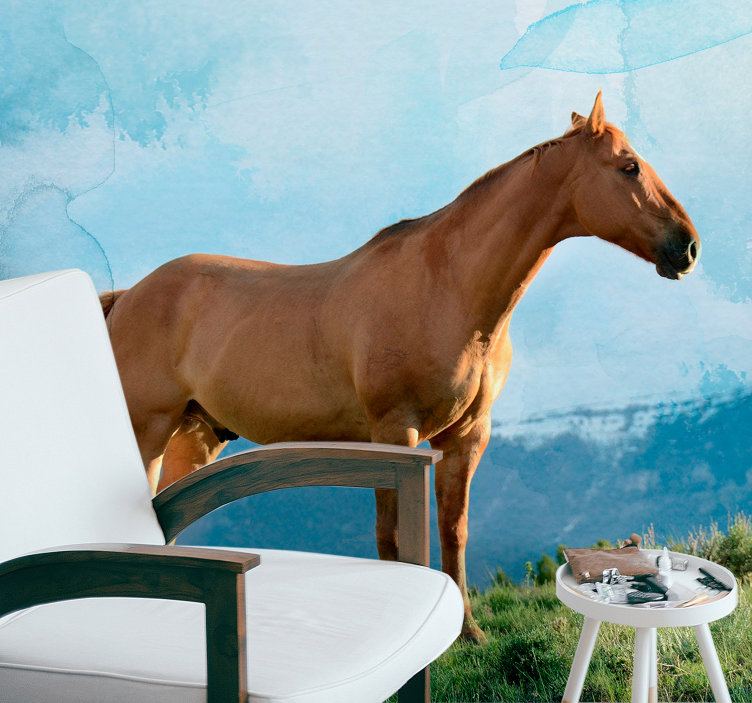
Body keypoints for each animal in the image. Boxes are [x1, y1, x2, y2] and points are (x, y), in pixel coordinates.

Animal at [101, 93, 700, 641]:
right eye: (628, 166)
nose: (688, 247)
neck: (448, 287)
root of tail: (126, 296)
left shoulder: (466, 436)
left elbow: (453, 531)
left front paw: (468, 634)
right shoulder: (395, 432)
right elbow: (391, 537)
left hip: (197, 436)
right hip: (148, 432)